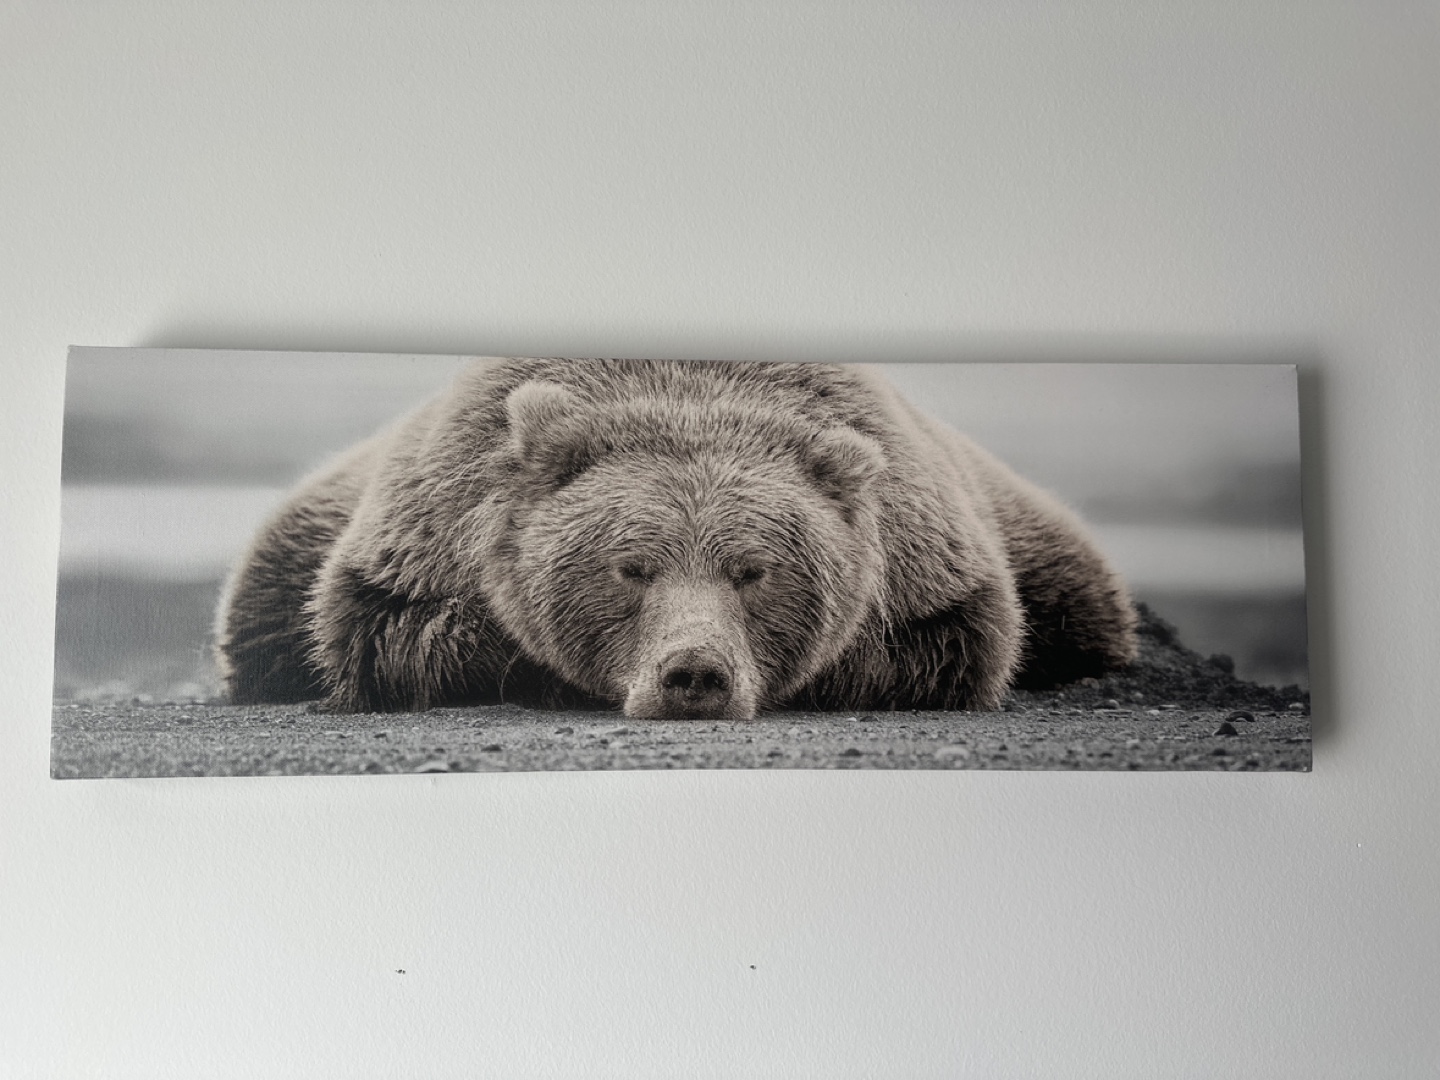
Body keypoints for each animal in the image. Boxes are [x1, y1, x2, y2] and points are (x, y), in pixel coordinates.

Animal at [215, 358, 1137, 719]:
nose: (695, 674)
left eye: (754, 571)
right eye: (630, 568)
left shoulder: (927, 561)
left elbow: (949, 642)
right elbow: (392, 630)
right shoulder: (427, 531)